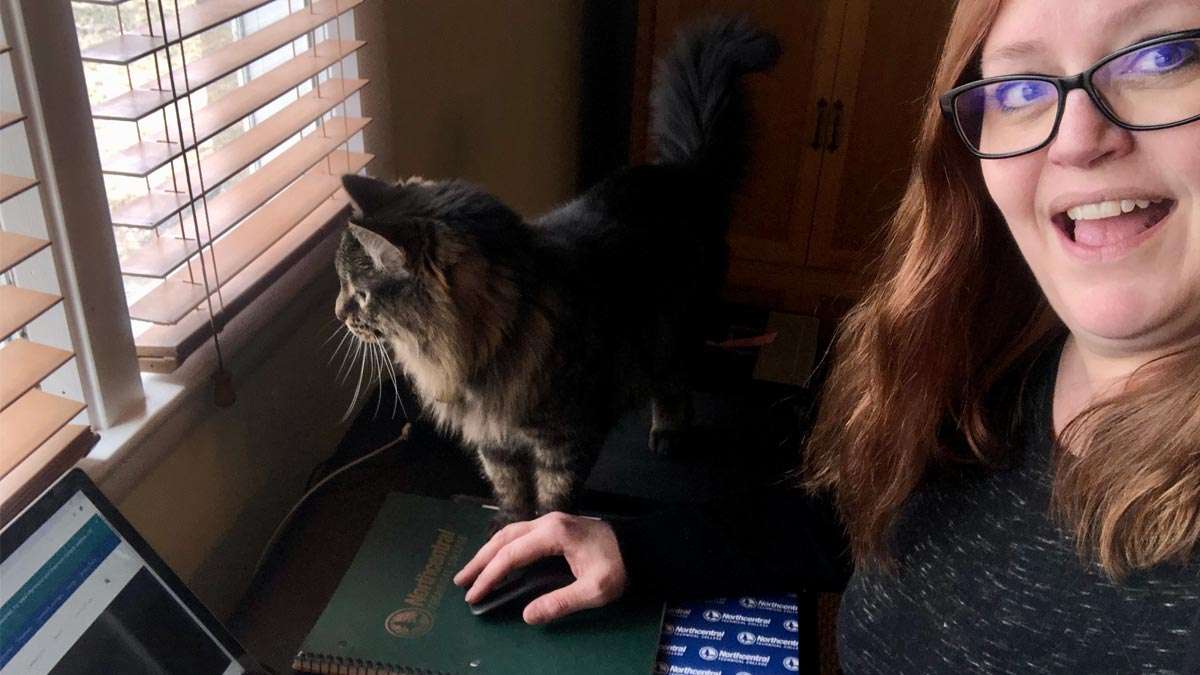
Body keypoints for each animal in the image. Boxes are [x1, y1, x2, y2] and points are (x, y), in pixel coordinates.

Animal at [333, 14, 777, 521]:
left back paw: (667, 433)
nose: (338, 313)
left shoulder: (565, 442)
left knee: (676, 386)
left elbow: (552, 505)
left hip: (678, 333)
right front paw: (507, 525)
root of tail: (681, 172)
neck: (496, 340)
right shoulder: (496, 442)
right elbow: (511, 493)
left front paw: (545, 534)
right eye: (343, 287)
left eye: (360, 293)